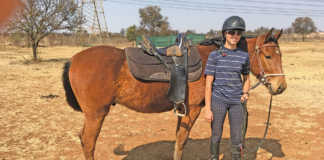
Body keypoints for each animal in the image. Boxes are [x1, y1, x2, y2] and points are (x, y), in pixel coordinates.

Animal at [62, 28, 286, 160]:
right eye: (268, 56)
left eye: (280, 55)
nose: (280, 87)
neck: (215, 59)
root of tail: (74, 59)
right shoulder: (192, 110)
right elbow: (181, 141)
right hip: (96, 114)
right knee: (88, 142)